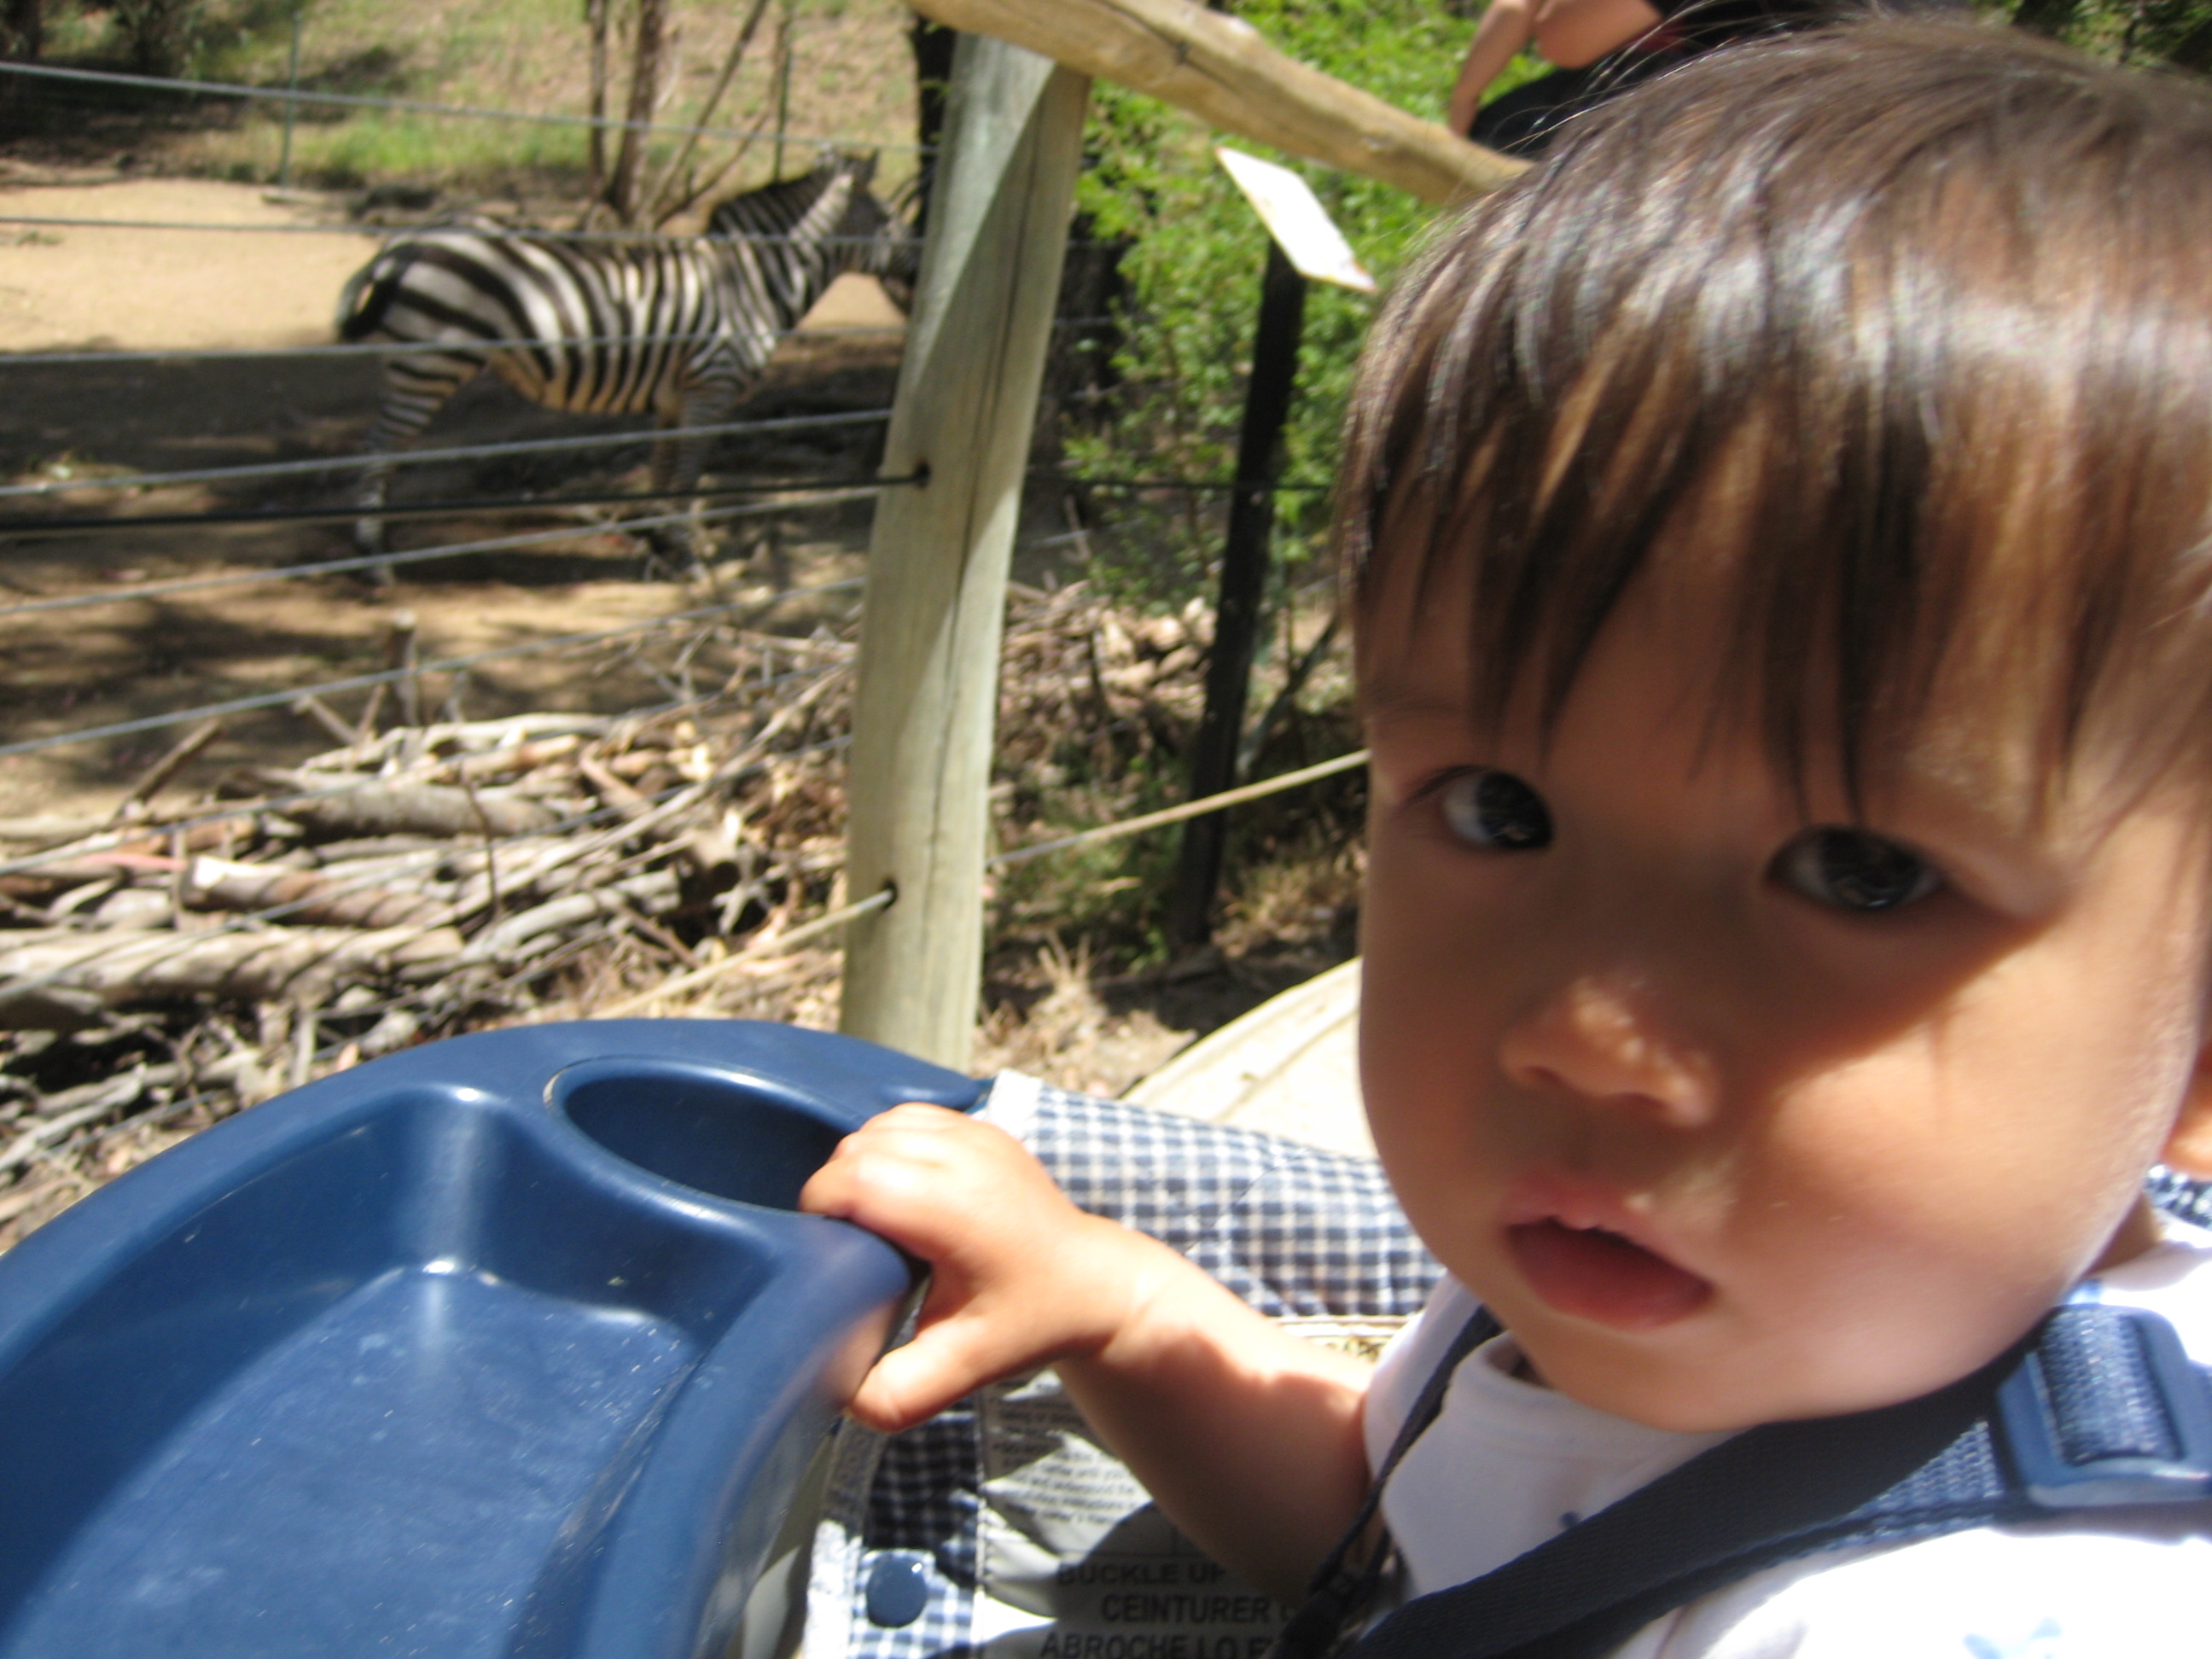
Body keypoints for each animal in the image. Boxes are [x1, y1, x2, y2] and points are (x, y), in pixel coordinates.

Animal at [334, 154, 916, 579]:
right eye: (888, 220)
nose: (914, 273)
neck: (751, 282)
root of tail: (403, 242)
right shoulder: (712, 385)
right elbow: (687, 473)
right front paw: (687, 557)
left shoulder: (675, 394)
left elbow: (662, 468)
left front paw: (660, 545)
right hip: (429, 363)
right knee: (378, 448)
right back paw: (373, 557)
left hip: (417, 364)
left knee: (380, 447)